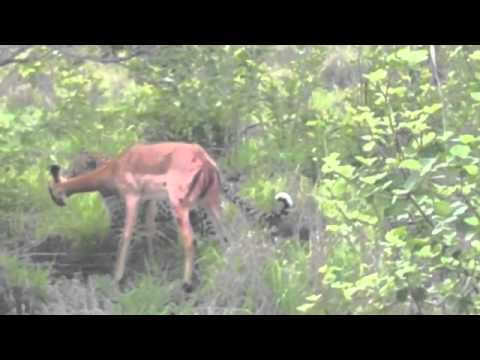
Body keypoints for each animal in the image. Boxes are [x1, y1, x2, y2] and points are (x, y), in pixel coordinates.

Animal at [47, 142, 228, 292]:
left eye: (73, 170)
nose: (60, 202)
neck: (111, 169)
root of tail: (206, 160)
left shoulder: (129, 205)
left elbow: (124, 239)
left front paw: (117, 277)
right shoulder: (147, 206)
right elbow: (148, 235)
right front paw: (151, 267)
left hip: (185, 208)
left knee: (194, 239)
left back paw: (188, 283)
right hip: (208, 206)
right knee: (224, 235)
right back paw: (221, 262)